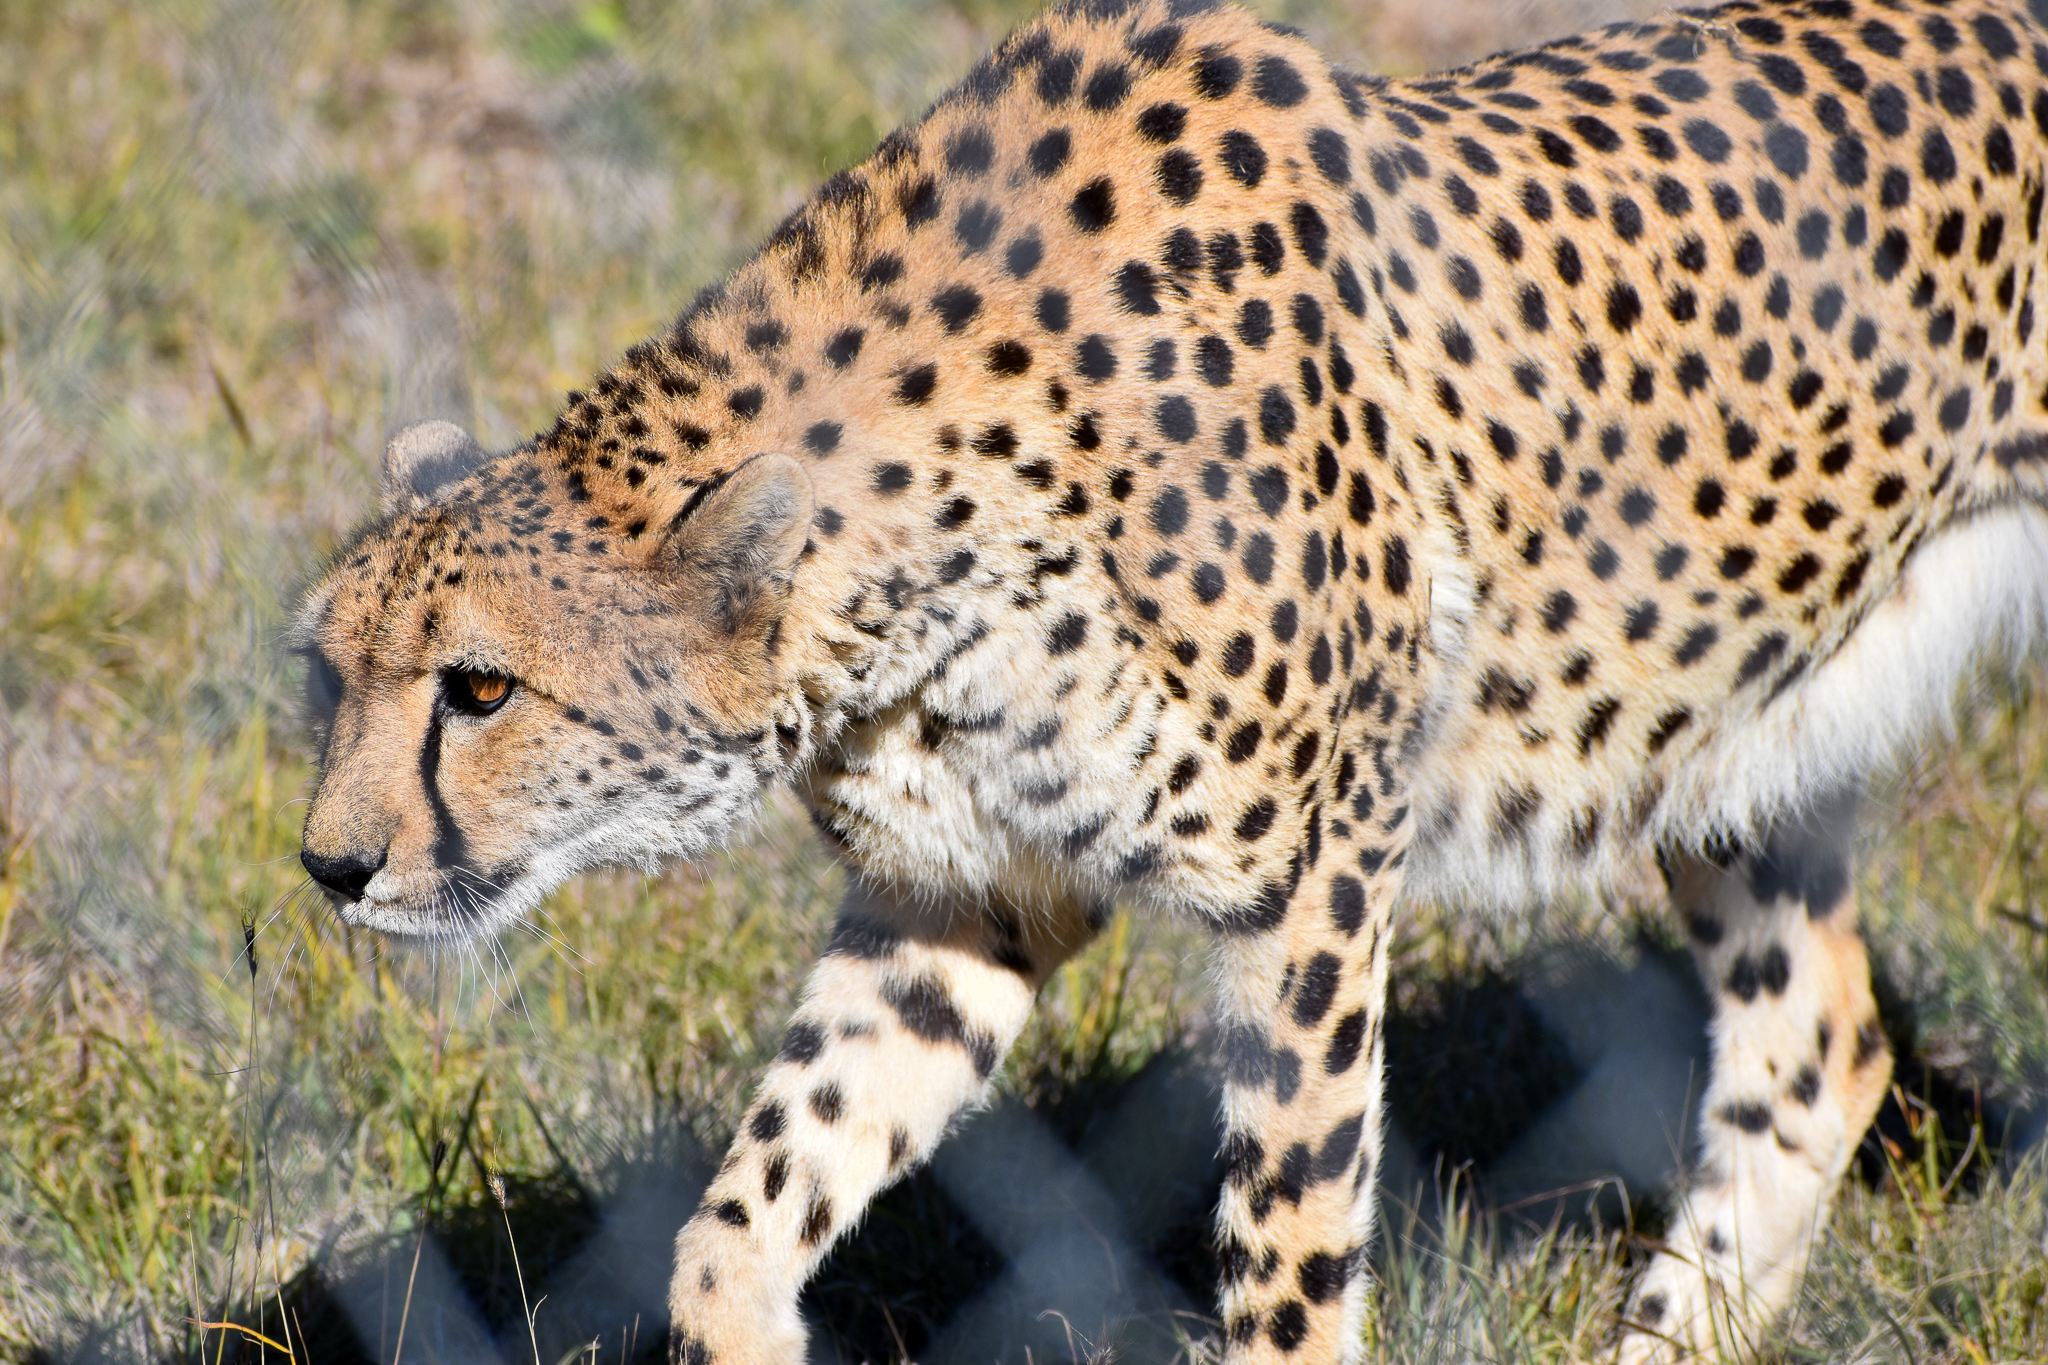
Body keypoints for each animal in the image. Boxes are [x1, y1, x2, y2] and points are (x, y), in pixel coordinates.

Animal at [291, 0, 2048, 1359]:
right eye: (333, 674)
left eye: (480, 689)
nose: (331, 865)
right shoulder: (969, 893)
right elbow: (752, 1195)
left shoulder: (1316, 879)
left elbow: (1288, 1244)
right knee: (1821, 1036)